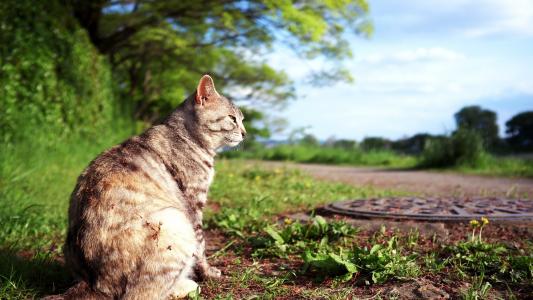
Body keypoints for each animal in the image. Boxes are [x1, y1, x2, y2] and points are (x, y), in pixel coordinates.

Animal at [60, 74, 247, 298]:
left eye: (242, 120)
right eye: (232, 119)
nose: (245, 133)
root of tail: (90, 283)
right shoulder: (193, 203)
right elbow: (201, 245)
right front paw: (209, 273)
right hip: (175, 221)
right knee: (146, 293)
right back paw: (188, 285)